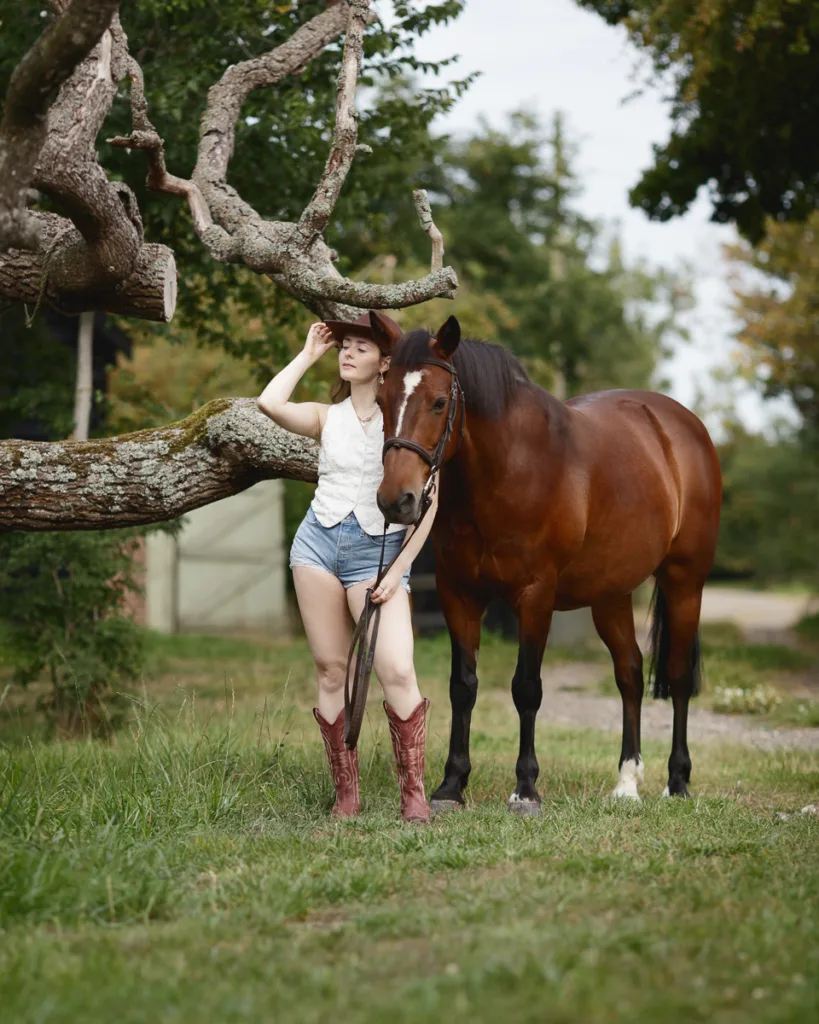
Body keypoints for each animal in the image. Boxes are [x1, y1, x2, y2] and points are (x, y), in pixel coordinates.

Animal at [369, 311, 722, 813]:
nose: (396, 501)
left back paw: (677, 781)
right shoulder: (458, 593)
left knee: (676, 676)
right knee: (630, 674)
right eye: (380, 400)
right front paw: (451, 785)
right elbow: (463, 686)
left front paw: (526, 789)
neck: (509, 468)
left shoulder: (535, 597)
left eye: (439, 402)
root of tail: (683, 427)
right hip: (610, 595)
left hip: (684, 582)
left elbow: (526, 688)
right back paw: (626, 783)